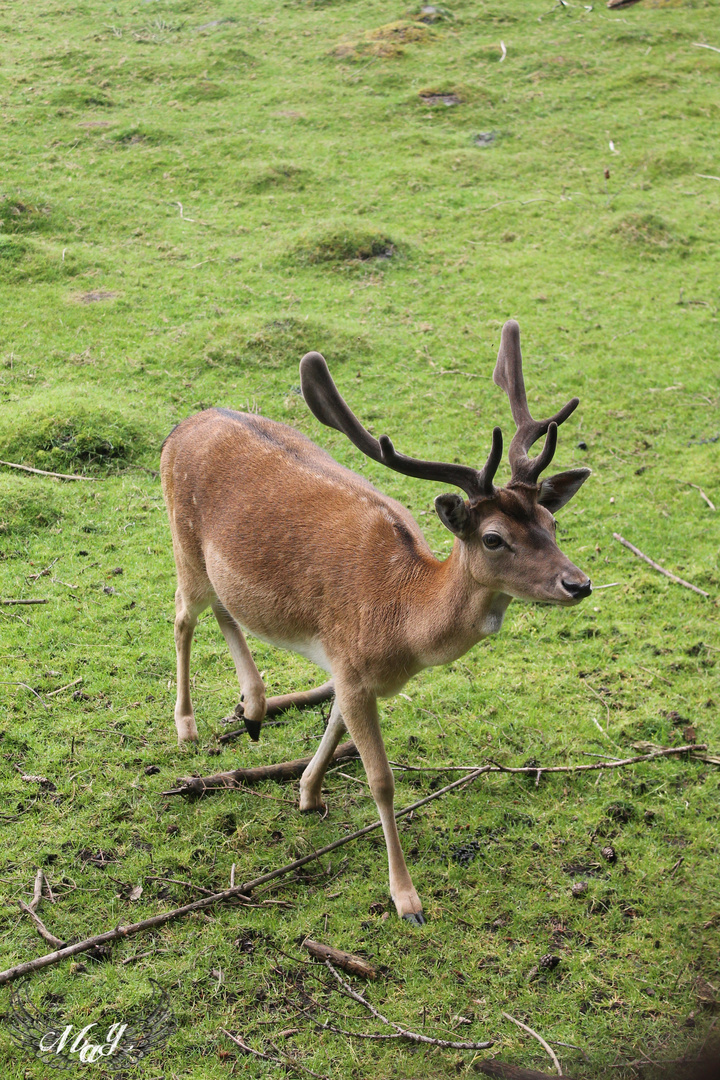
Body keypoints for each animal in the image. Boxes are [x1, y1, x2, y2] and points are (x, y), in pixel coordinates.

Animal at [161, 315, 591, 924]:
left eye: (551, 522)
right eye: (493, 538)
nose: (578, 583)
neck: (402, 623)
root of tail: (180, 426)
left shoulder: (348, 672)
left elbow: (334, 723)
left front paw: (308, 794)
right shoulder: (350, 659)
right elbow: (381, 778)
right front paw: (407, 898)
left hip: (219, 568)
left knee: (225, 607)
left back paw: (253, 704)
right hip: (185, 543)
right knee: (182, 615)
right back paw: (188, 726)